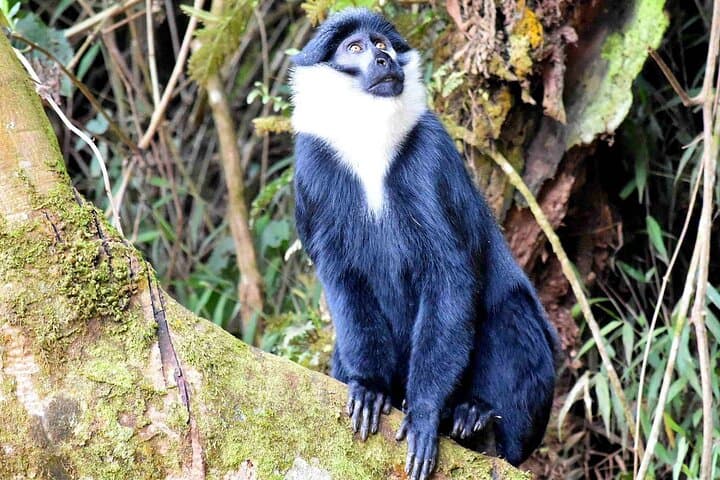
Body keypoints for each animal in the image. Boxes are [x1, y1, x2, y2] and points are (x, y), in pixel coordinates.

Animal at [290, 9, 558, 480]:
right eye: (354, 48)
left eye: (382, 44)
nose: (382, 59)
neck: (369, 147)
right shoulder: (310, 168)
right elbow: (342, 279)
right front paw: (369, 388)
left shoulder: (431, 153)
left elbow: (450, 277)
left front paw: (426, 413)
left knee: (510, 313)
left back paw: (479, 426)